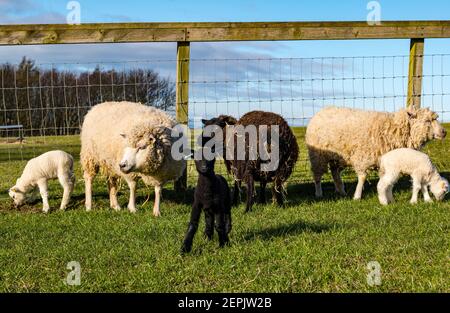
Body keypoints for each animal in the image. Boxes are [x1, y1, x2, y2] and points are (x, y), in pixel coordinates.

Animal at [306, 105, 446, 199]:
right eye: (427, 121)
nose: (444, 132)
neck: (392, 129)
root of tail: (321, 111)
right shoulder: (362, 157)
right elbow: (362, 177)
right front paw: (357, 196)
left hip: (336, 157)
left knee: (335, 172)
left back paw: (341, 190)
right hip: (318, 156)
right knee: (317, 175)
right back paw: (319, 193)